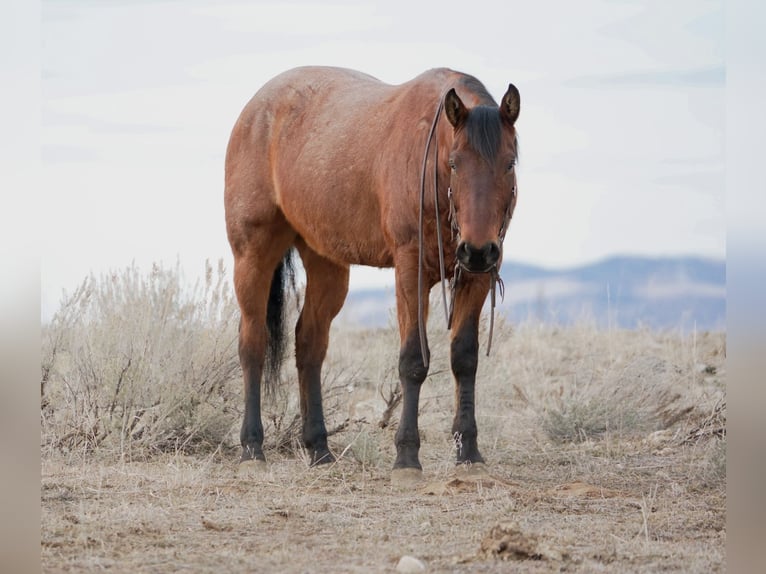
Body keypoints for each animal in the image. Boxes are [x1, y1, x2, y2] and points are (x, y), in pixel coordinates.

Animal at [224, 66, 520, 480]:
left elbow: (464, 358)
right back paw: (252, 448)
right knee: (252, 343)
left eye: (510, 163)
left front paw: (469, 454)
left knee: (309, 344)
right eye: (455, 163)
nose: (477, 249)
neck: (429, 154)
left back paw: (319, 449)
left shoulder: (476, 276)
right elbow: (413, 361)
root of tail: (255, 109)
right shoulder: (410, 270)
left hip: (327, 264)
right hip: (252, 255)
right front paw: (407, 458)